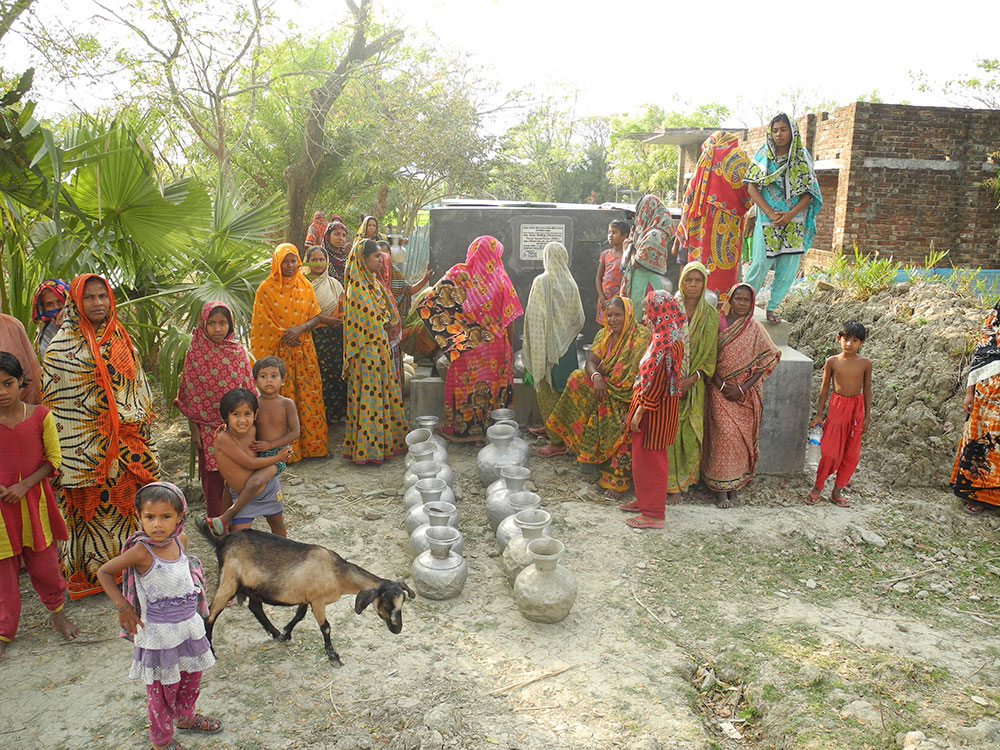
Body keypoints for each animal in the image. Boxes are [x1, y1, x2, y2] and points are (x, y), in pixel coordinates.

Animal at [196, 520, 414, 665]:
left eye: (402, 604)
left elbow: (299, 615)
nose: (397, 629)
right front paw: (333, 656)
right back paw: (212, 653)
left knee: (255, 607)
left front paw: (286, 632)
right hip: (228, 581)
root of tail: (221, 541)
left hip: (252, 588)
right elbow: (326, 627)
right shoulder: (317, 601)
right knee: (210, 614)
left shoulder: (305, 596)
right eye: (386, 604)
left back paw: (276, 634)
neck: (337, 574)